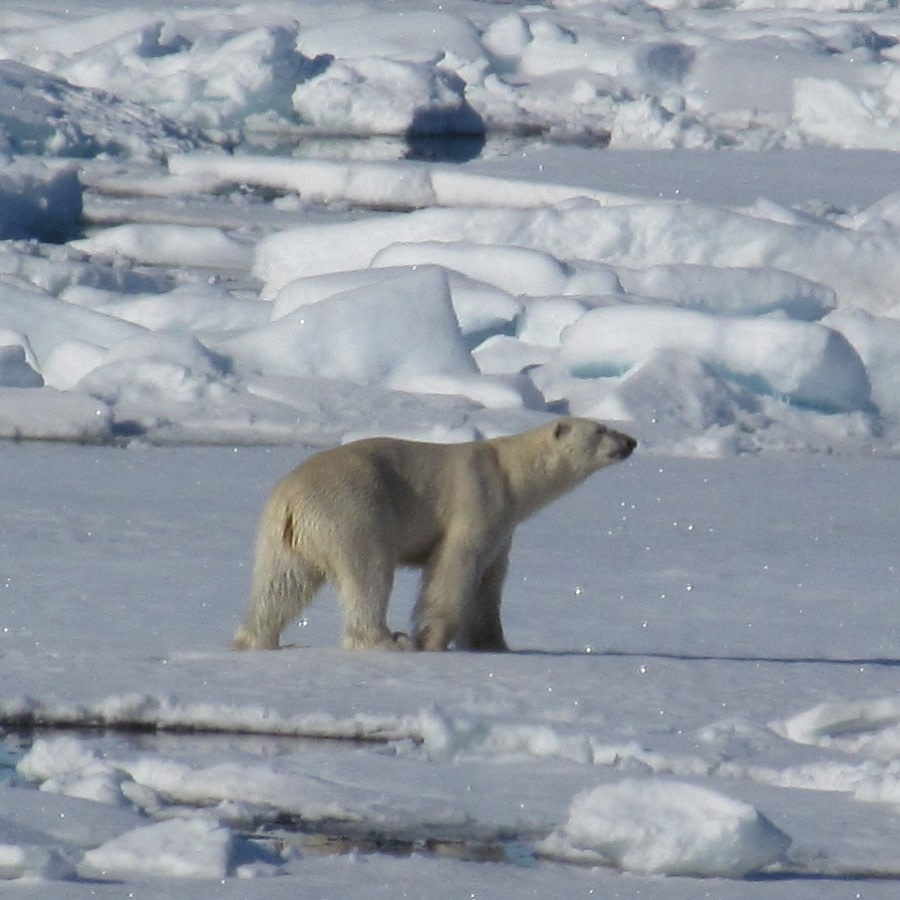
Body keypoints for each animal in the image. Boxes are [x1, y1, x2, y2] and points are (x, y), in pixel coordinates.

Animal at [236, 418, 636, 652]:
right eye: (601, 429)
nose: (631, 441)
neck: (510, 474)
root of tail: (290, 499)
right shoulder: (478, 499)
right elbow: (454, 567)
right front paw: (431, 639)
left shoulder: (503, 527)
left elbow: (489, 583)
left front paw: (493, 643)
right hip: (354, 510)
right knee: (369, 573)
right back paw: (388, 640)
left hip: (283, 536)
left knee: (281, 583)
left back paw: (256, 639)